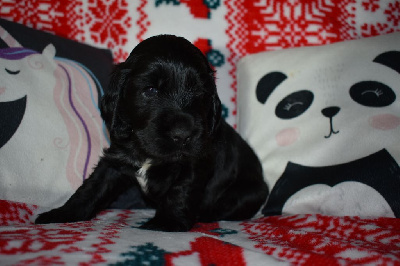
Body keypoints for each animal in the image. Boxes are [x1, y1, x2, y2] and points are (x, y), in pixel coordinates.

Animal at [36, 34, 268, 231]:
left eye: (200, 93)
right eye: (150, 90)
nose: (182, 134)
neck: (149, 154)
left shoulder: (195, 161)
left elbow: (180, 189)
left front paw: (167, 223)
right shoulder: (116, 158)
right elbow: (92, 187)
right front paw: (61, 214)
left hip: (251, 192)